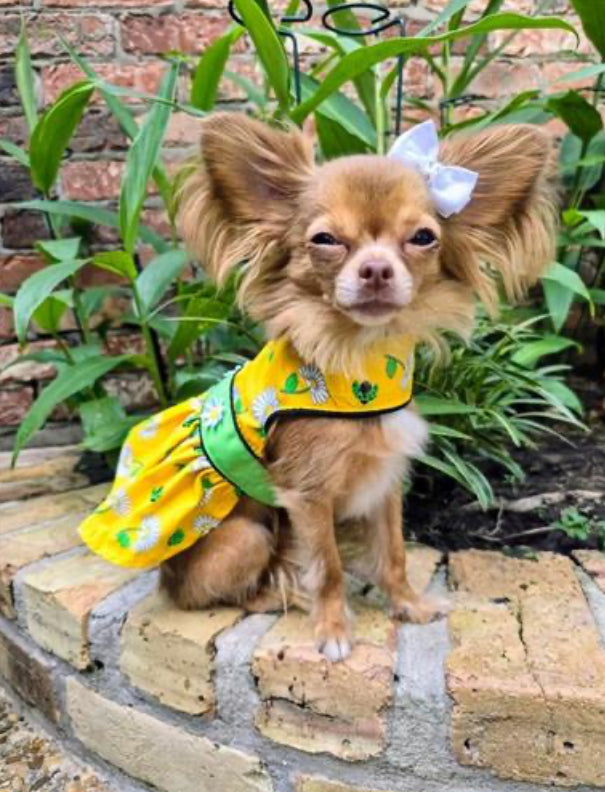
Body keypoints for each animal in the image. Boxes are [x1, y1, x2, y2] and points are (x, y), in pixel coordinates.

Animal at [162, 111, 556, 664]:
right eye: (326, 240)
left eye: (423, 237)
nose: (376, 268)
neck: (357, 367)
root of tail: (163, 578)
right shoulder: (307, 496)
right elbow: (327, 567)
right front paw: (332, 630)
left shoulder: (385, 484)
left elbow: (393, 552)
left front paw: (409, 605)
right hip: (247, 536)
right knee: (218, 593)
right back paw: (280, 595)